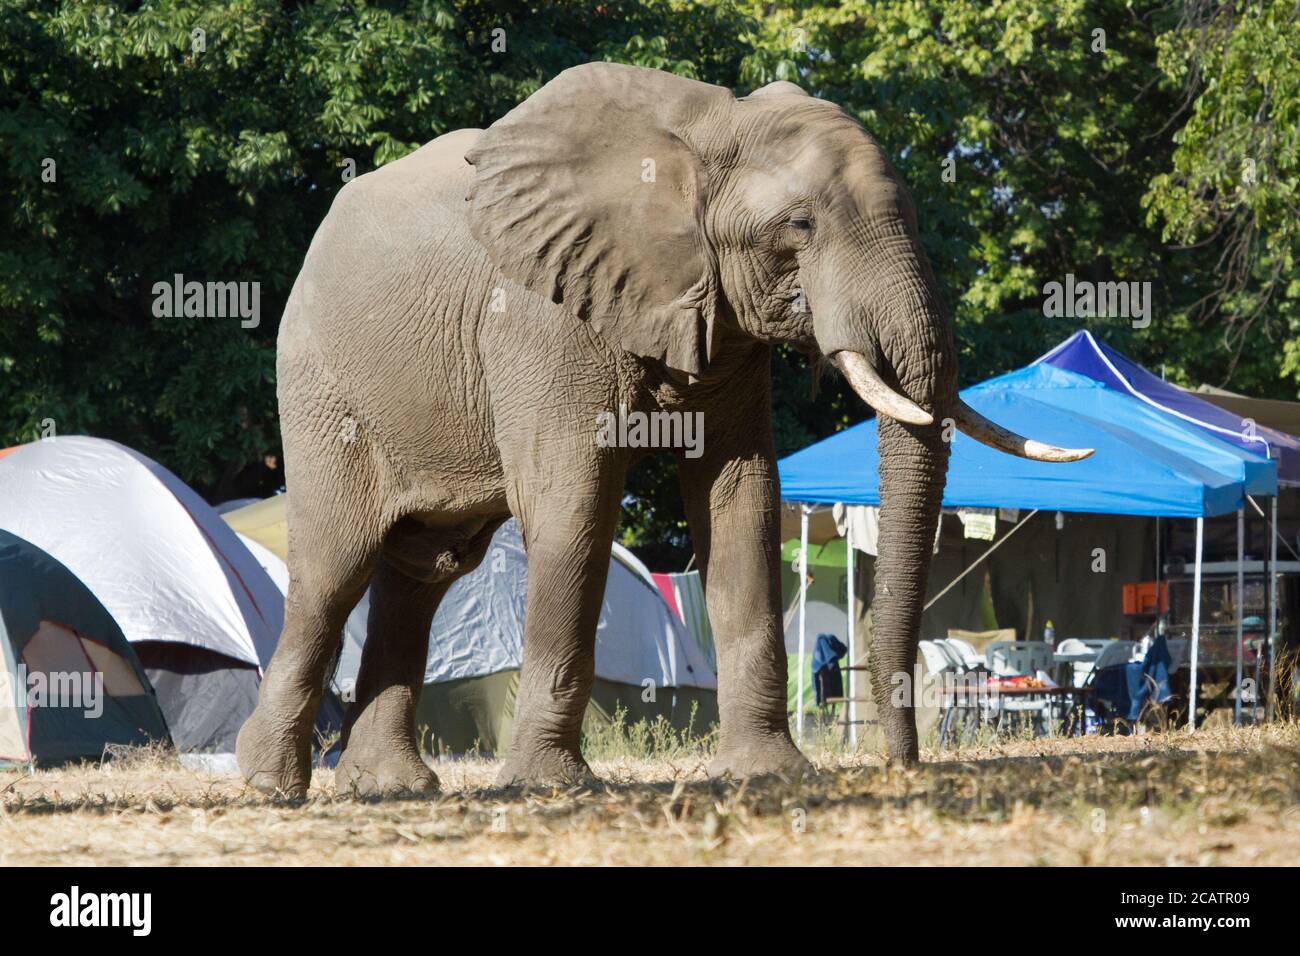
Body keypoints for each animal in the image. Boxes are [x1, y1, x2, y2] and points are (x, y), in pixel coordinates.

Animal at [236, 61, 1086, 801]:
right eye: (800, 225)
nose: (899, 766)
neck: (710, 128)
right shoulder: (544, 312)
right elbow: (575, 504)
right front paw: (551, 786)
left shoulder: (726, 320)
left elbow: (743, 500)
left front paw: (770, 773)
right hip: (322, 387)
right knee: (335, 567)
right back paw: (270, 785)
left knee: (425, 569)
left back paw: (390, 787)